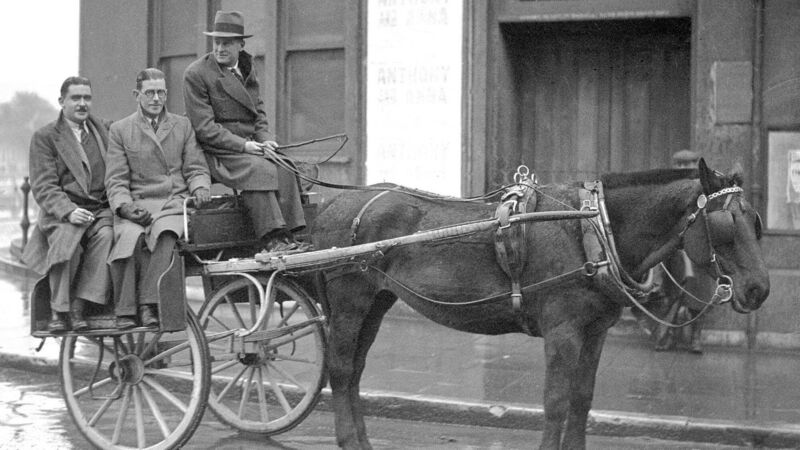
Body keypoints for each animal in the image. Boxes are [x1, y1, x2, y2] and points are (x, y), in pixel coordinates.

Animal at [307, 159, 769, 449]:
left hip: (377, 300)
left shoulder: (595, 331)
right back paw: (349, 439)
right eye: (724, 224)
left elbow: (582, 399)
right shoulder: (562, 330)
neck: (595, 228)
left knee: (355, 371)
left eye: (755, 222)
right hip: (349, 298)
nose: (759, 289)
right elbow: (556, 402)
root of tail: (331, 205)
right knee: (341, 369)